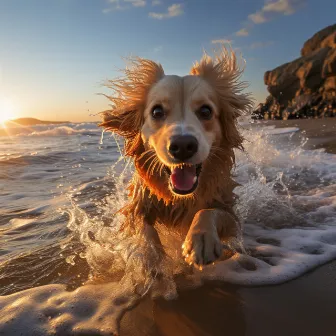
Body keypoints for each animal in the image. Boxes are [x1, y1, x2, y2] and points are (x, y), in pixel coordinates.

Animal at [100, 48, 252, 268]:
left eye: (206, 110)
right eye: (157, 111)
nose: (182, 146)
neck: (179, 199)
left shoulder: (230, 212)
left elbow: (209, 211)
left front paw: (200, 239)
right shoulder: (137, 206)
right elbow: (144, 229)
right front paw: (149, 257)